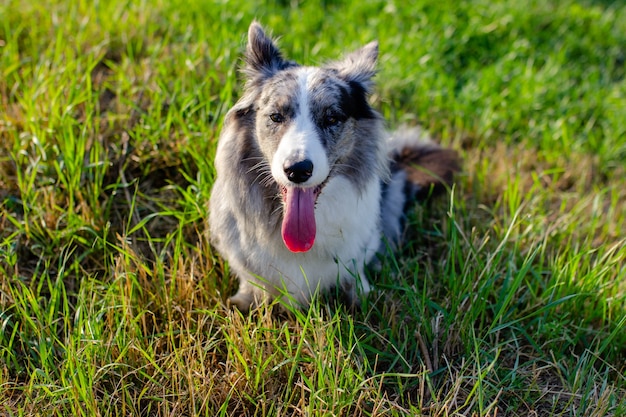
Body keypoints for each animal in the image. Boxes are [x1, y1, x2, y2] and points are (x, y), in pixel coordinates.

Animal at [210, 21, 458, 310]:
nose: (298, 170)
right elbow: (251, 283)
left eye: (331, 119)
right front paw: (245, 301)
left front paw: (361, 296)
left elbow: (355, 275)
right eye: (275, 116)